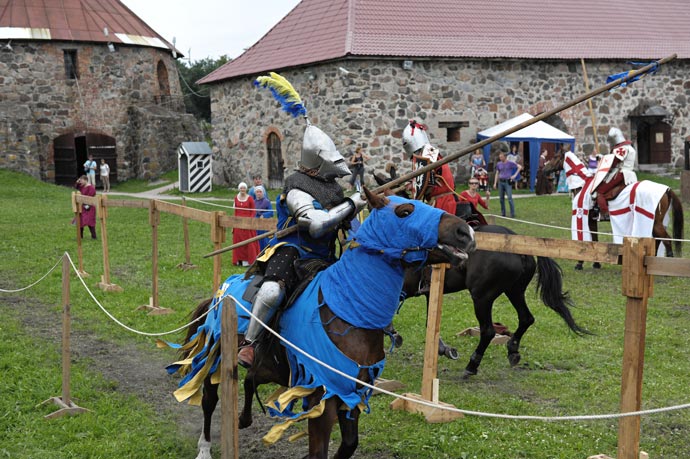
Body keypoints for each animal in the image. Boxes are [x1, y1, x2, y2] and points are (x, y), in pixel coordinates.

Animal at [165, 188, 476, 459]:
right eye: (404, 211)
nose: (466, 232)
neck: (347, 314)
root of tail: (222, 289)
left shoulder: (350, 395)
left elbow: (349, 444)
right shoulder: (321, 398)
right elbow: (319, 451)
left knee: (251, 379)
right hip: (217, 352)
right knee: (209, 400)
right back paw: (204, 448)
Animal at [544, 152, 680, 258]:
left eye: (555, 156)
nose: (545, 169)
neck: (583, 184)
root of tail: (667, 189)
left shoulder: (584, 216)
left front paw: (580, 264)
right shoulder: (592, 219)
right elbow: (594, 239)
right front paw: (596, 263)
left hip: (655, 222)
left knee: (667, 239)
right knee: (658, 240)